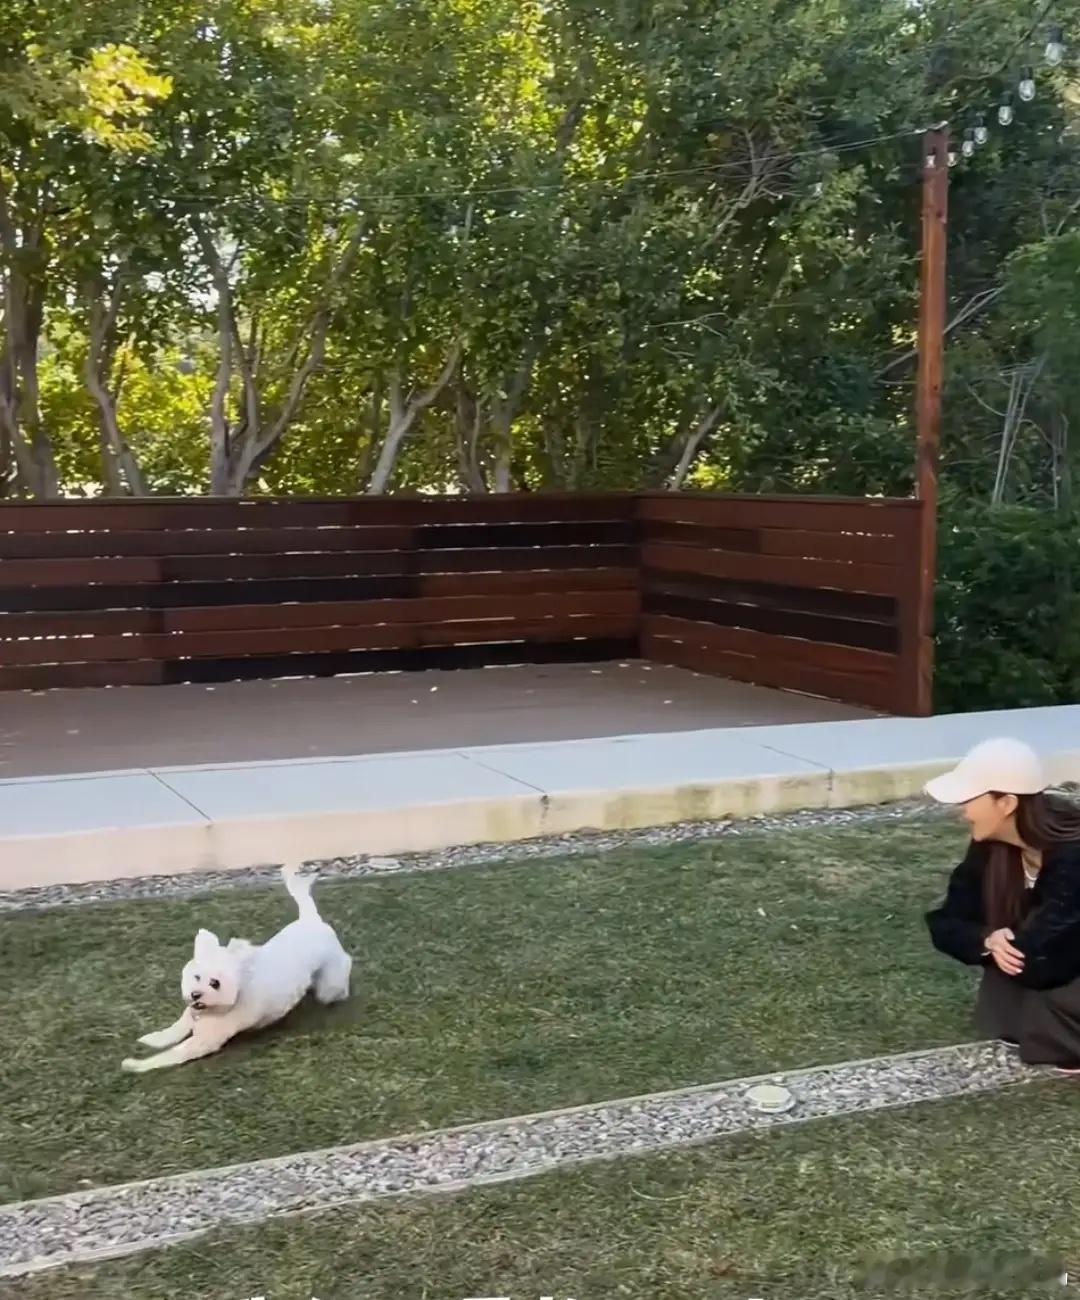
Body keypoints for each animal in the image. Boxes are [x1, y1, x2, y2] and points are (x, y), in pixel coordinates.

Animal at [122, 865, 352, 1074]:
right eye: (196, 977)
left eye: (215, 983)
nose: (195, 994)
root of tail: (311, 918)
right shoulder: (192, 1013)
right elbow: (175, 1028)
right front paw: (154, 1039)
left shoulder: (204, 1041)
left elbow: (171, 1054)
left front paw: (136, 1065)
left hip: (330, 979)